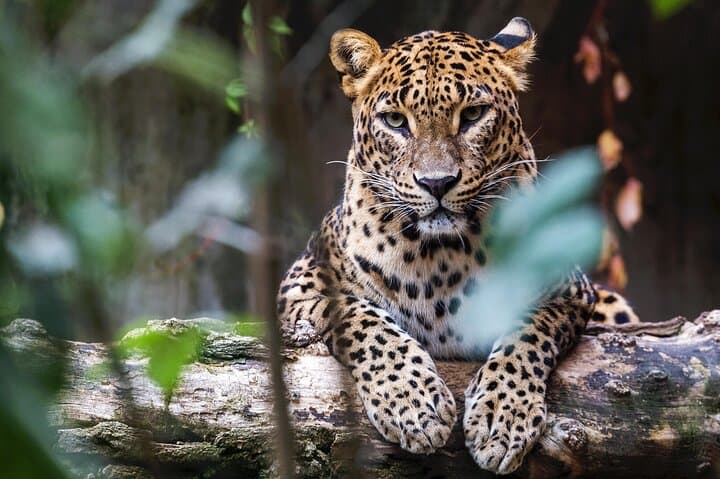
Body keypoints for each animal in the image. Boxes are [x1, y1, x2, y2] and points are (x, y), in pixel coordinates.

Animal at [277, 17, 639, 475]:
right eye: (395, 121)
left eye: (472, 115)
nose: (437, 183)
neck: (440, 255)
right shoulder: (301, 285)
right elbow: (364, 321)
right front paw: (414, 405)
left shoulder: (568, 290)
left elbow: (527, 332)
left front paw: (502, 419)